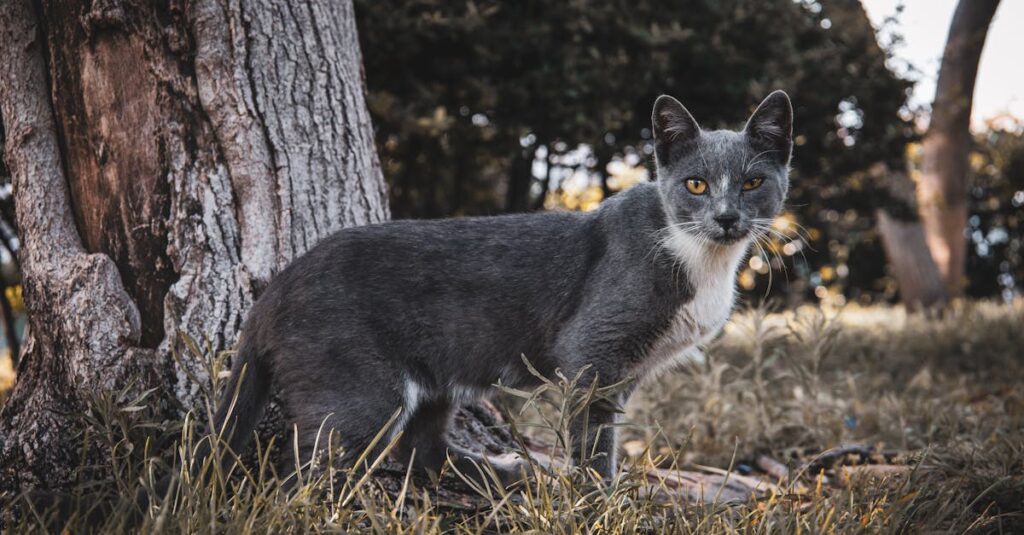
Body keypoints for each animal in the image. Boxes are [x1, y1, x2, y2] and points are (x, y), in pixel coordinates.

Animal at [205, 90, 790, 483]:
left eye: (753, 182)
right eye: (696, 184)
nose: (727, 217)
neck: (704, 258)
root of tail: (274, 289)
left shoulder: (626, 374)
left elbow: (606, 433)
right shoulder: (591, 353)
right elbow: (593, 441)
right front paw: (595, 500)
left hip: (432, 376)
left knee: (422, 451)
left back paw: (505, 474)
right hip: (358, 386)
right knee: (306, 474)